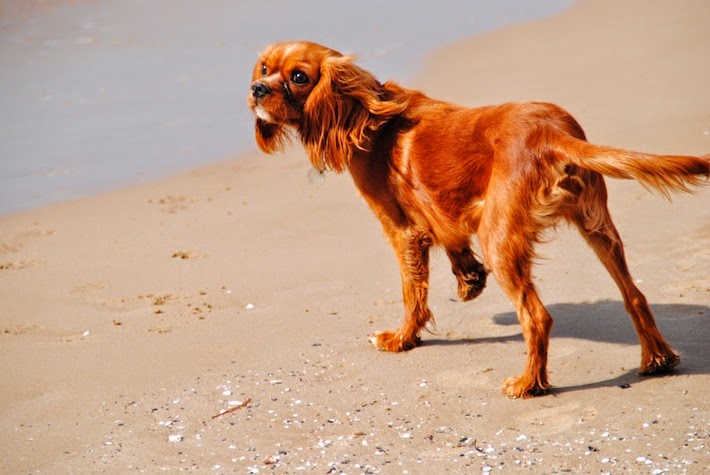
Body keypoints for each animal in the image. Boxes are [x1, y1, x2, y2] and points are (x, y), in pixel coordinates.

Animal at [247, 41, 709, 398]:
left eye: (299, 77)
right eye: (265, 68)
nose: (255, 88)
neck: (367, 115)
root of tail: (553, 134)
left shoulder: (401, 229)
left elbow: (412, 292)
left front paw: (400, 339)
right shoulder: (441, 213)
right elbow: (453, 243)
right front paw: (469, 279)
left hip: (500, 236)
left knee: (537, 316)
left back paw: (528, 384)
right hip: (598, 226)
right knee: (635, 295)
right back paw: (656, 359)